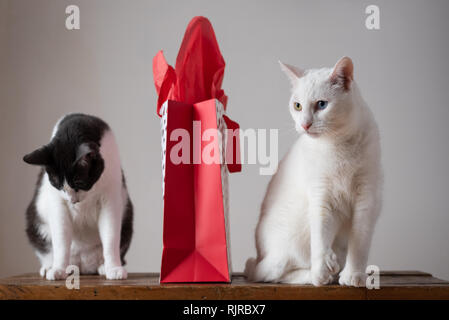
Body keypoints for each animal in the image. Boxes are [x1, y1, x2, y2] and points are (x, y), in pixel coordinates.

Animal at [24, 113, 133, 280]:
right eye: (56, 182)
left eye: (79, 183)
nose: (72, 200)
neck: (74, 128)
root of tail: (83, 265)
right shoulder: (58, 204)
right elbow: (61, 240)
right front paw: (58, 269)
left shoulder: (110, 199)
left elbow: (111, 236)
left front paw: (114, 268)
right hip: (35, 224)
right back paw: (50, 267)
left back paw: (103, 267)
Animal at [245, 56, 382, 286]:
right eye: (297, 105)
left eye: (322, 104)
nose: (304, 124)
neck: (338, 144)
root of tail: (259, 256)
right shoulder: (321, 195)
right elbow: (320, 235)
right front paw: (322, 268)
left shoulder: (366, 198)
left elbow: (359, 243)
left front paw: (353, 276)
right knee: (272, 273)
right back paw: (321, 274)